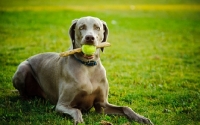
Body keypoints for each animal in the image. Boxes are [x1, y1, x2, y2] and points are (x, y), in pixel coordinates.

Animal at [12, 16, 153, 124]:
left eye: (97, 27)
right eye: (81, 27)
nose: (90, 38)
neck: (88, 67)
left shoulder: (102, 105)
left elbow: (125, 107)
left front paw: (142, 118)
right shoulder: (61, 105)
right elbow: (77, 110)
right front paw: (78, 120)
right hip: (22, 69)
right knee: (23, 92)